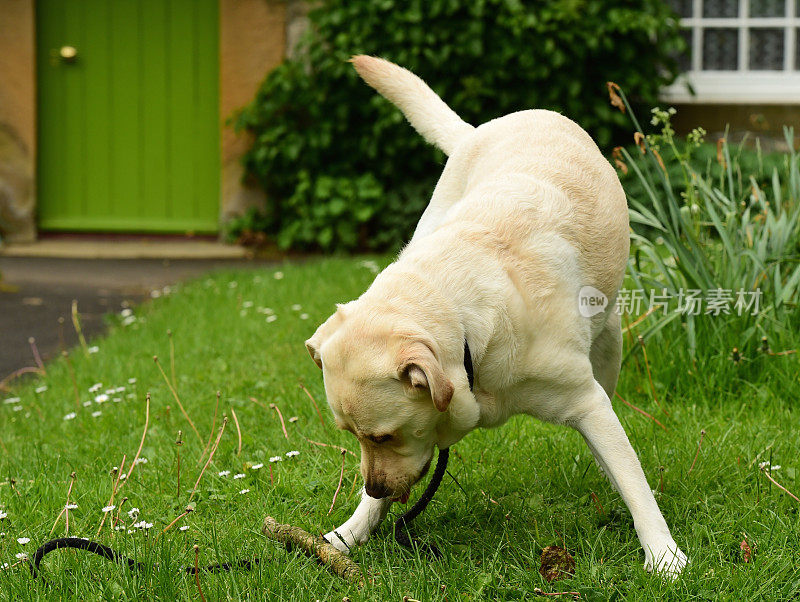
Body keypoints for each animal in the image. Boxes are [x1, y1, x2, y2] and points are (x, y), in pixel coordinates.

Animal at [308, 55, 688, 572]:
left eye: (384, 437)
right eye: (355, 436)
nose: (374, 486)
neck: (462, 316)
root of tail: (484, 127)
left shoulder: (585, 399)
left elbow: (634, 482)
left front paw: (665, 556)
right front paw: (351, 533)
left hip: (609, 343)